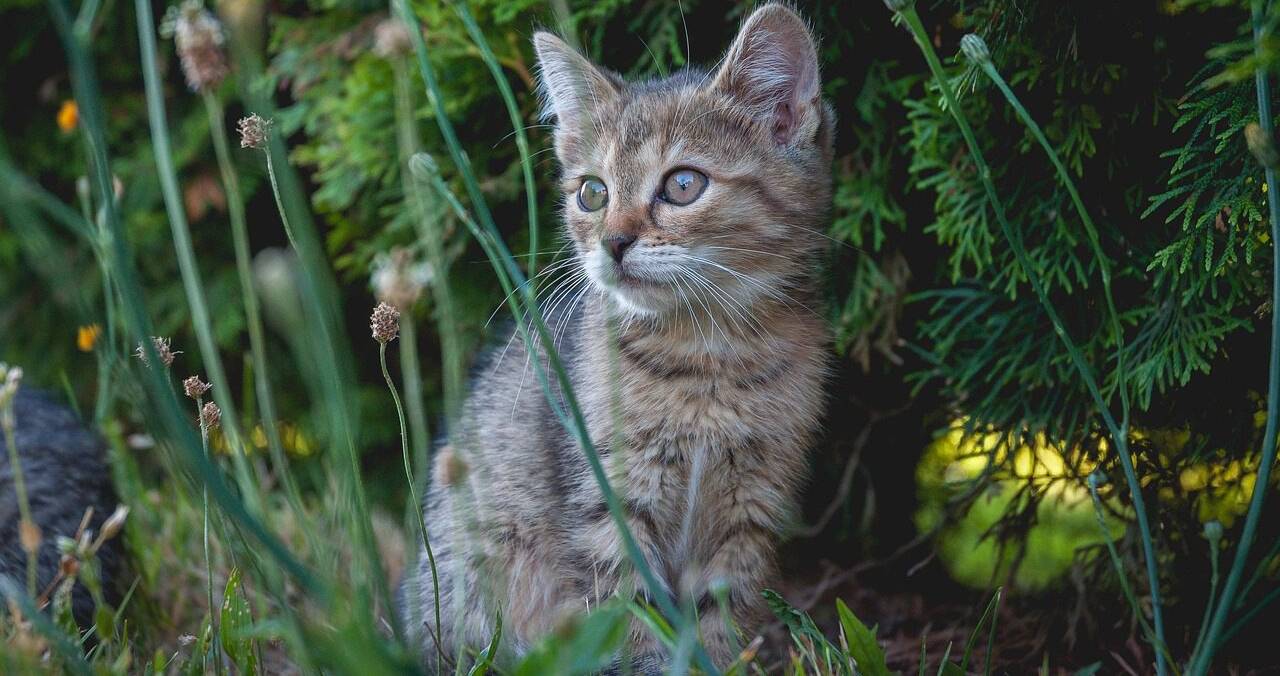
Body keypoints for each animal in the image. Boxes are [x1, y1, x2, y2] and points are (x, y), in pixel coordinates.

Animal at [404, 3, 834, 670]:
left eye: (682, 184)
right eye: (592, 192)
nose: (613, 242)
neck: (708, 355)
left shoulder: (753, 503)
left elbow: (721, 617)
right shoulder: (609, 500)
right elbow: (629, 616)